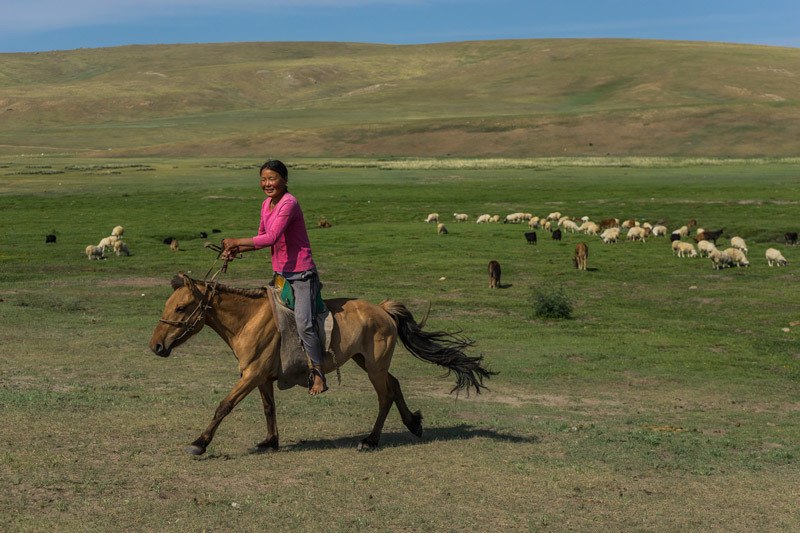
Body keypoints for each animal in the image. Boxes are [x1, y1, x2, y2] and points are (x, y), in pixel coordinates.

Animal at [147, 274, 490, 454]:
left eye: (181, 307)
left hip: (374, 367)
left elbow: (224, 406)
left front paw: (200, 443)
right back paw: (413, 423)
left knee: (385, 395)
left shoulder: (252, 374)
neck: (249, 320)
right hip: (367, 362)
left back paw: (370, 440)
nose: (156, 345)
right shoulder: (262, 377)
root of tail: (382, 309)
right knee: (394, 385)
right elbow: (269, 408)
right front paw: (270, 441)